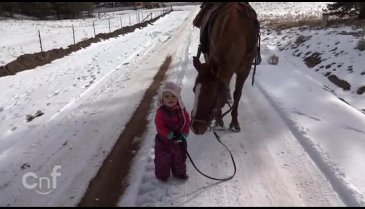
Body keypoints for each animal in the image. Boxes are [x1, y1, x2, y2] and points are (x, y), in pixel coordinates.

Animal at [191, 2, 258, 135]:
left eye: (213, 94)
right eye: (194, 90)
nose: (195, 127)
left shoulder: (245, 69)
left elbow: (237, 94)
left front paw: (234, 122)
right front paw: (219, 120)